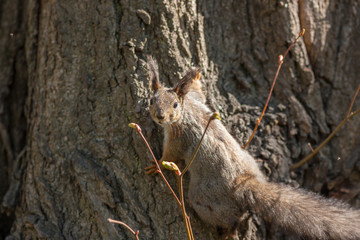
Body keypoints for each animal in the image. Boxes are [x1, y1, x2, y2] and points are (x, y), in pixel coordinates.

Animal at [145, 57, 360, 239]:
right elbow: (200, 93)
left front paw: (156, 164)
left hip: (203, 198)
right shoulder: (196, 100)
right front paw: (196, 76)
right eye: (151, 100)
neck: (187, 110)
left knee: (230, 218)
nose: (160, 117)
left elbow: (170, 156)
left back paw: (228, 233)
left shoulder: (179, 137)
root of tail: (244, 183)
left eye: (174, 104)